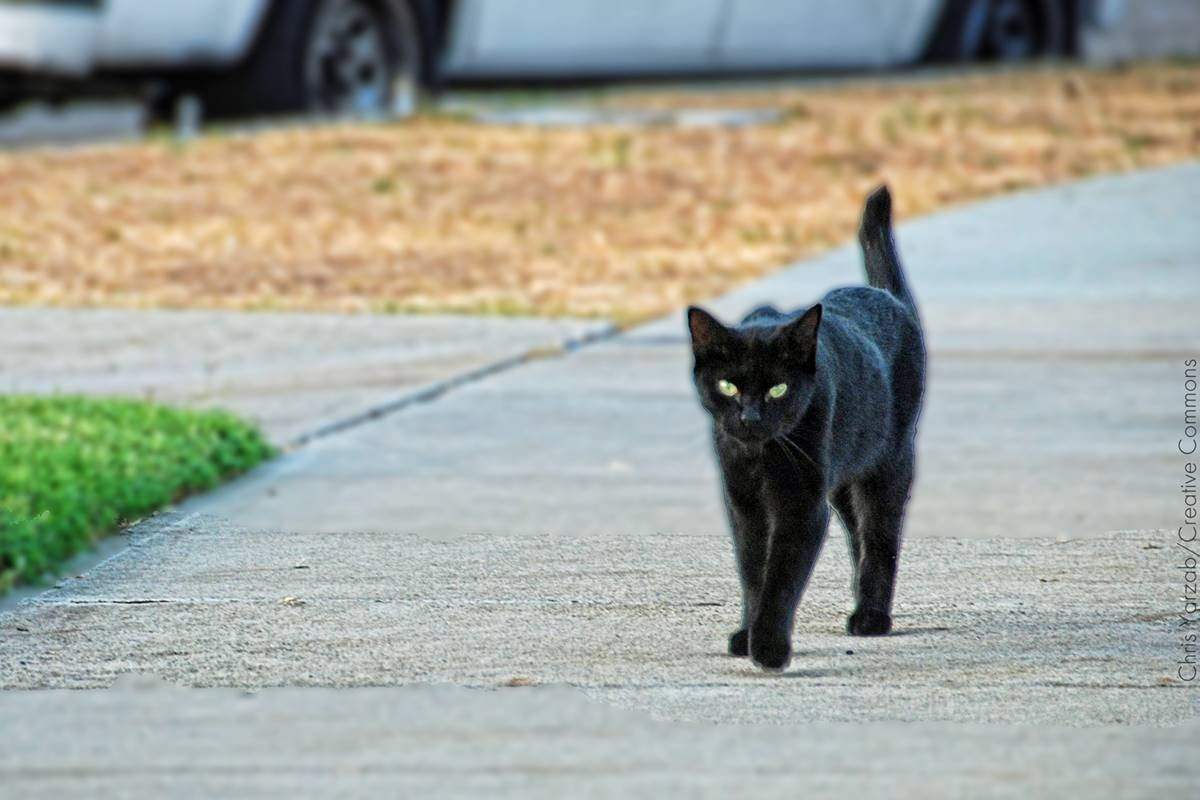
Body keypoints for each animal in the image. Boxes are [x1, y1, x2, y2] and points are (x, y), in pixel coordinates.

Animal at [686, 185, 926, 671]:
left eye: (778, 389)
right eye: (728, 385)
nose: (750, 417)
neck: (759, 460)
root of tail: (885, 297)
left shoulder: (800, 507)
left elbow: (780, 576)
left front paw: (768, 647)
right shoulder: (745, 505)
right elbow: (753, 571)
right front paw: (747, 634)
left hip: (887, 465)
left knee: (880, 537)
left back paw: (871, 617)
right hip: (842, 478)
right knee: (859, 536)